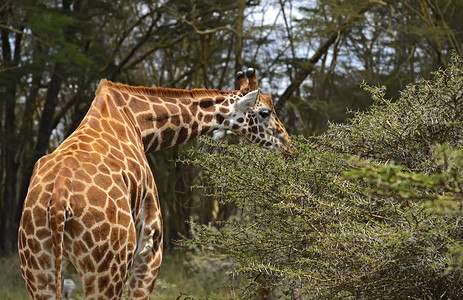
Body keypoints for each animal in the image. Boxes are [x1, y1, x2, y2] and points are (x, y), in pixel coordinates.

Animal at [18, 67, 296, 298]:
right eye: (265, 112)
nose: (289, 147)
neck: (140, 126)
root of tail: (58, 202)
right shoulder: (150, 249)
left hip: (39, 270)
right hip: (106, 269)